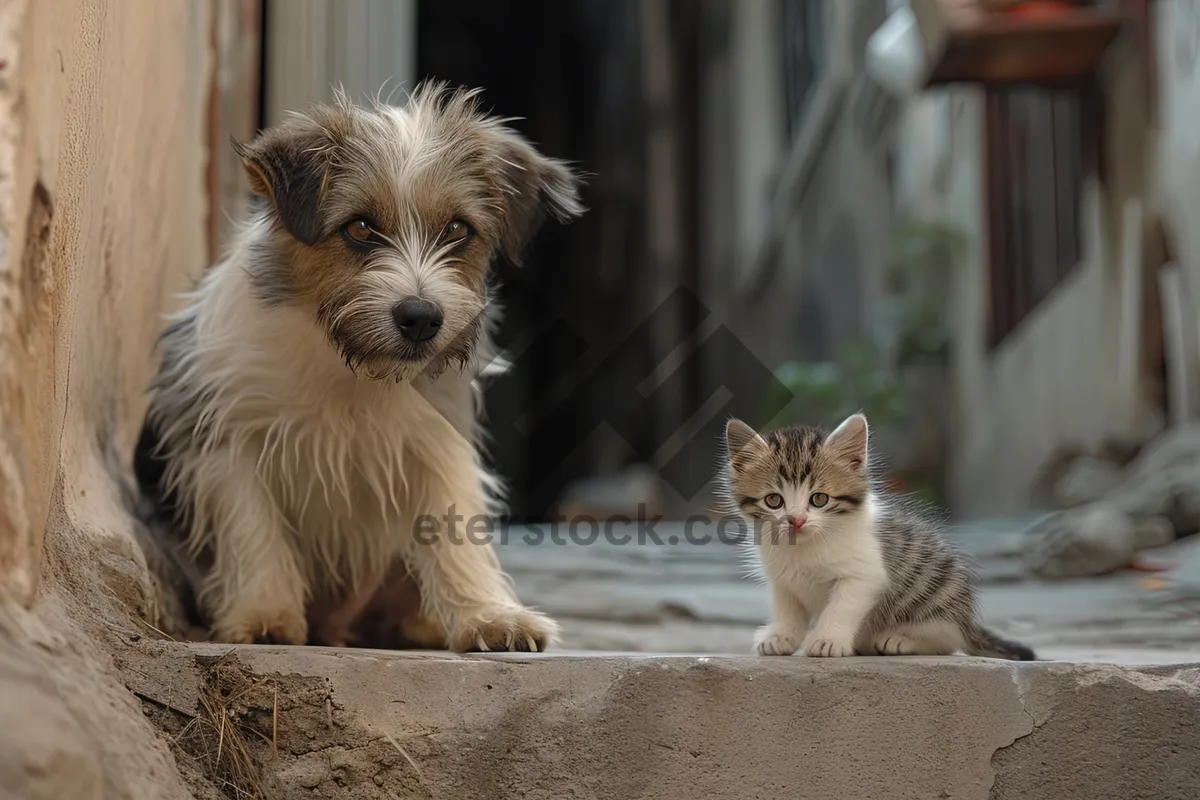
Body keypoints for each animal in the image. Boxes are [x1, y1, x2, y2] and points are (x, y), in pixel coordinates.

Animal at [132, 84, 580, 652]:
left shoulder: (435, 444)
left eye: (458, 229)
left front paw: (488, 616)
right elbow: (253, 527)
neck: (350, 366)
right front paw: (264, 614)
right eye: (361, 228)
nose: (421, 318)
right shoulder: (226, 440)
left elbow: (454, 533)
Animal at [715, 417, 1036, 662]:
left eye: (819, 499)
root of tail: (967, 620)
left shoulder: (865, 574)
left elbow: (841, 607)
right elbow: (788, 609)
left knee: (947, 640)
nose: (796, 520)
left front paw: (827, 639)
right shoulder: (783, 580)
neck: (805, 547)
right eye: (774, 500)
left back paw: (899, 641)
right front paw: (782, 636)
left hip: (935, 597)